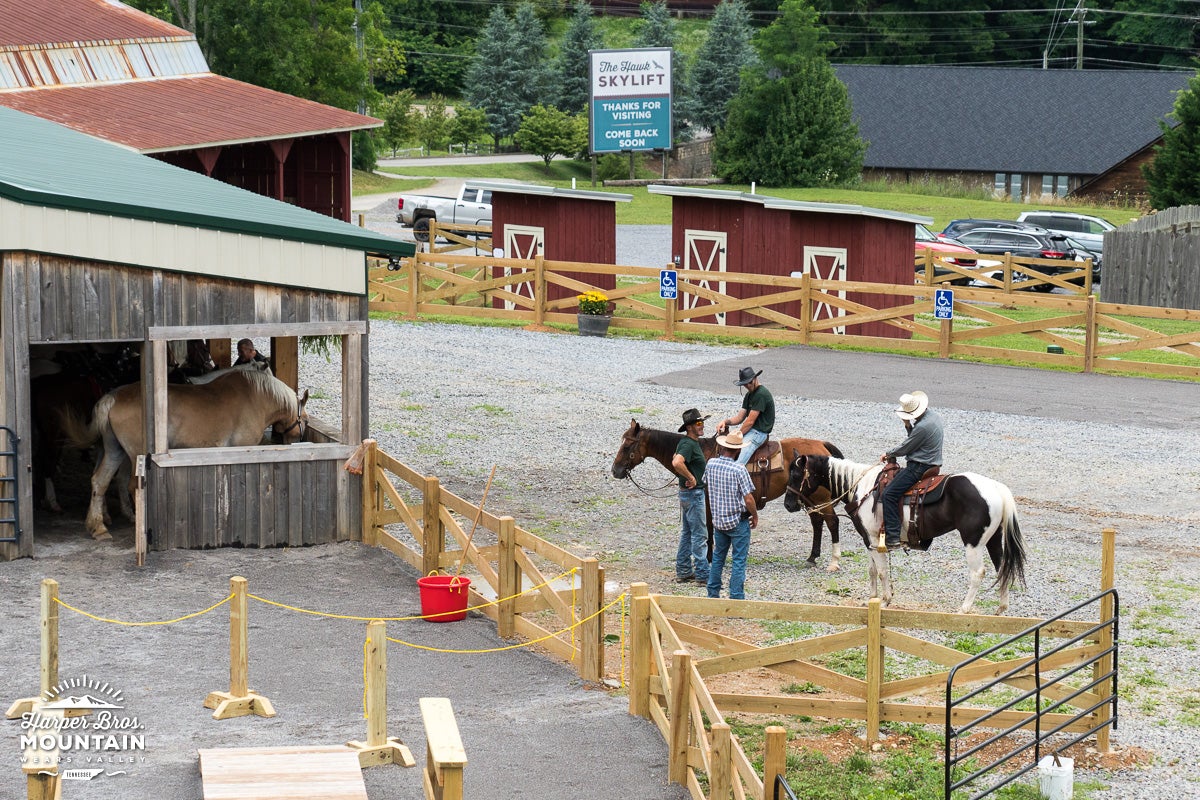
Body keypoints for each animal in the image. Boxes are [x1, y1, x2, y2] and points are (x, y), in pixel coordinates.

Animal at [61, 371, 309, 542]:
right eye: (305, 419)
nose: (296, 440)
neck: (255, 397)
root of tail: (112, 397)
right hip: (133, 455)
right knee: (129, 485)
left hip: (114, 451)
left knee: (100, 482)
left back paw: (98, 527)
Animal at [609, 422, 844, 573]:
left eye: (628, 445)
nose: (615, 470)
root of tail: (821, 445)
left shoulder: (708, 501)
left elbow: (709, 530)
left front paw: (709, 558)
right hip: (808, 497)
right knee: (817, 521)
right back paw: (812, 557)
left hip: (821, 498)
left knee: (832, 521)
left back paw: (833, 561)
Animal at [782, 455, 1027, 614]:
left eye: (795, 474)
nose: (788, 504)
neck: (861, 487)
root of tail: (996, 488)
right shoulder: (869, 541)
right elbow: (872, 570)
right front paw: (871, 599)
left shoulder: (874, 539)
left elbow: (881, 572)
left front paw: (885, 601)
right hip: (993, 539)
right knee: (1002, 567)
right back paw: (1001, 608)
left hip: (973, 542)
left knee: (978, 573)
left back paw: (964, 608)